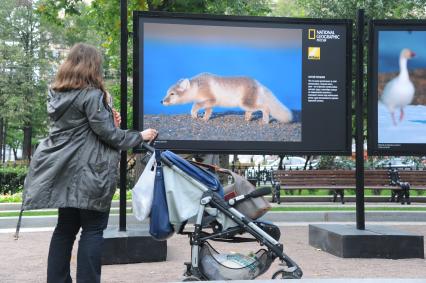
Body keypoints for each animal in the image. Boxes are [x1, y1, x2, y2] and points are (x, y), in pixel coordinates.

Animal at [161, 73, 292, 124]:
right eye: (166, 93)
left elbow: (196, 105)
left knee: (265, 107)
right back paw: (247, 118)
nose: (161, 101)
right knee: (251, 111)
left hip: (246, 103)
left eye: (172, 94)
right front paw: (205, 118)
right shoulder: (210, 104)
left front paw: (194, 114)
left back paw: (264, 121)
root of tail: (258, 83)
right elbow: (208, 111)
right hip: (246, 104)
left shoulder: (211, 99)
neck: (198, 87)